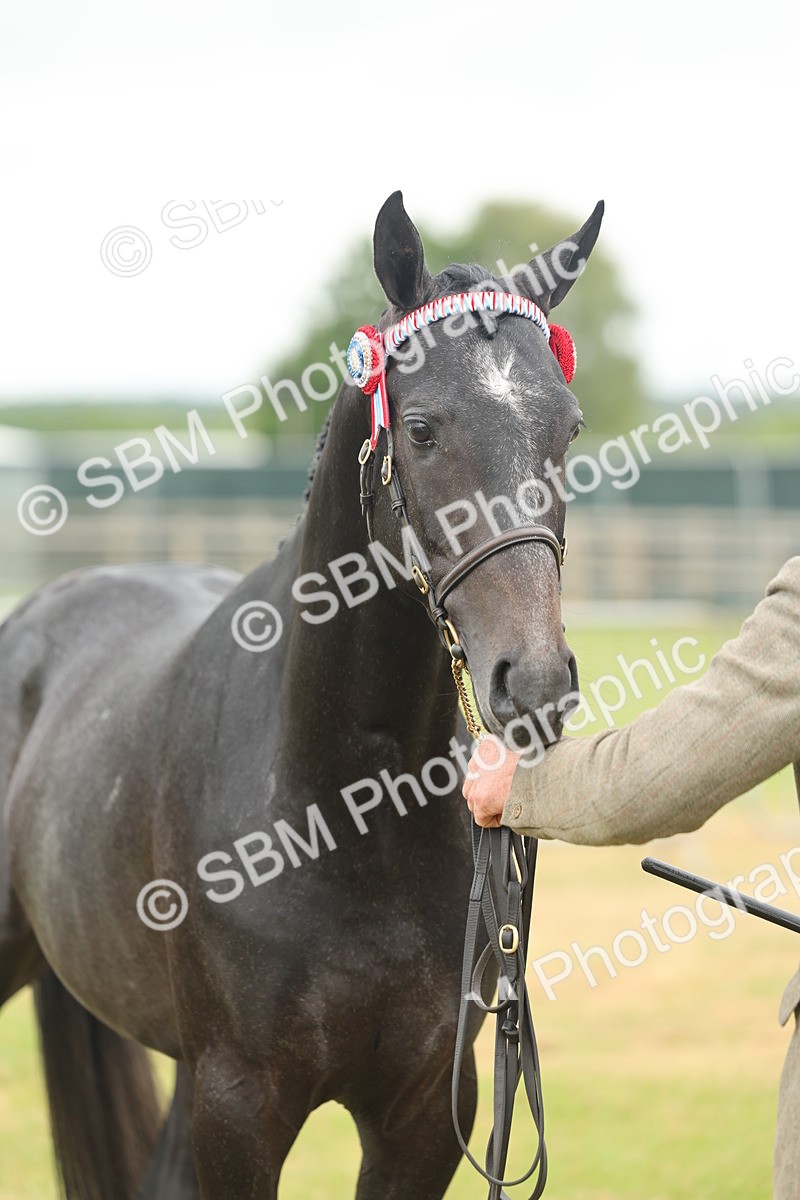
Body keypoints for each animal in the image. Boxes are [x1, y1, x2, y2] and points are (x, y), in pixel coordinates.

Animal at [0, 189, 602, 1199]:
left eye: (569, 429)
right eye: (423, 428)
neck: (342, 811)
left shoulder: (424, 1114)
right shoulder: (239, 1104)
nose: (537, 681)